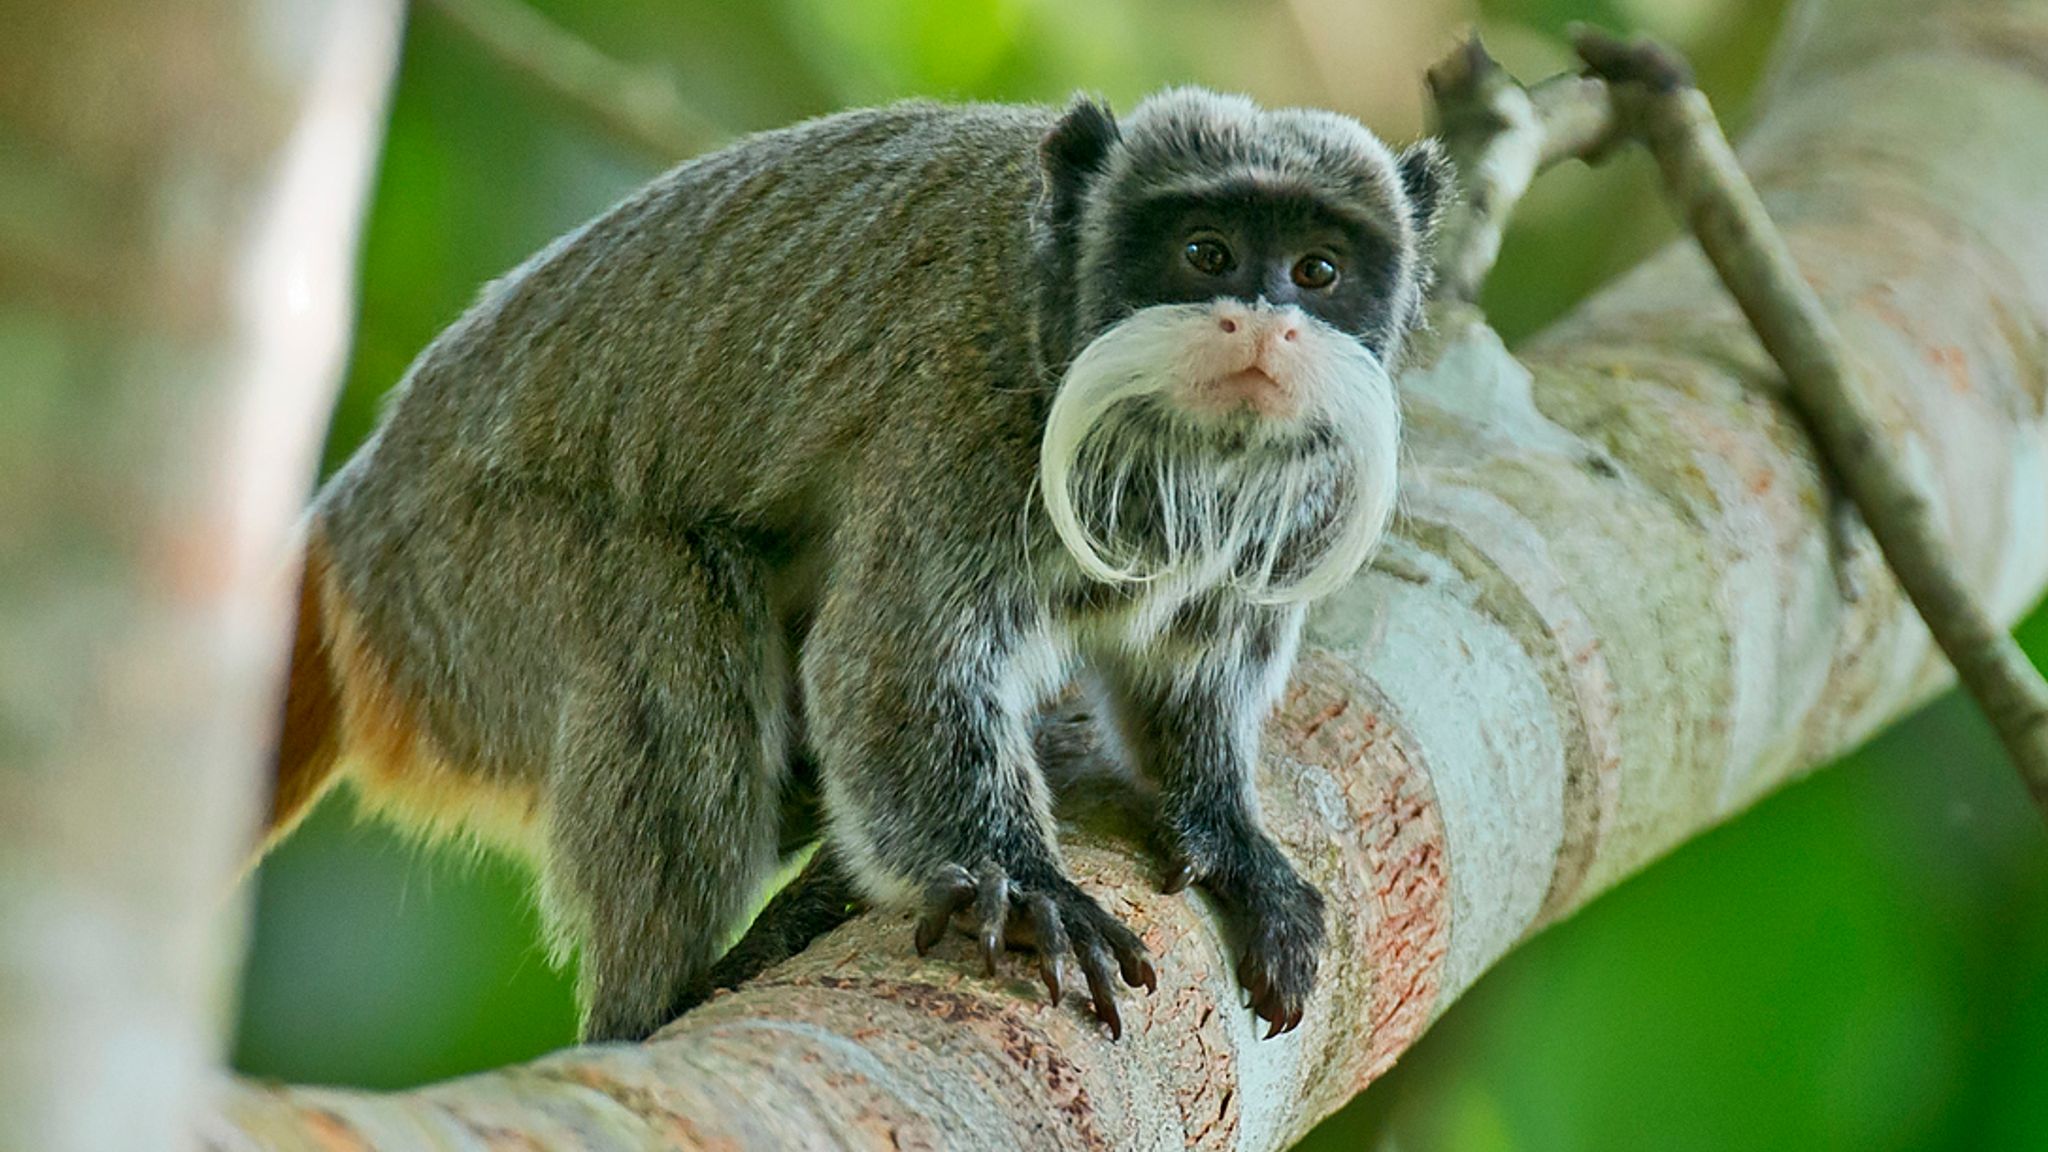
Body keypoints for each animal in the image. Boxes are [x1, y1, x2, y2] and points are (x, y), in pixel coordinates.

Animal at [268, 87, 1458, 1041]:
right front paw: (1026, 886)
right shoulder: (973, 420)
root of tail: (351, 524)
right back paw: (659, 1003)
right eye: (1206, 254)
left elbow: (1192, 678)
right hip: (452, 599)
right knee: (663, 613)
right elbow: (895, 666)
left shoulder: (1294, 498)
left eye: (1316, 271)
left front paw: (1227, 834)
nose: (1263, 323)